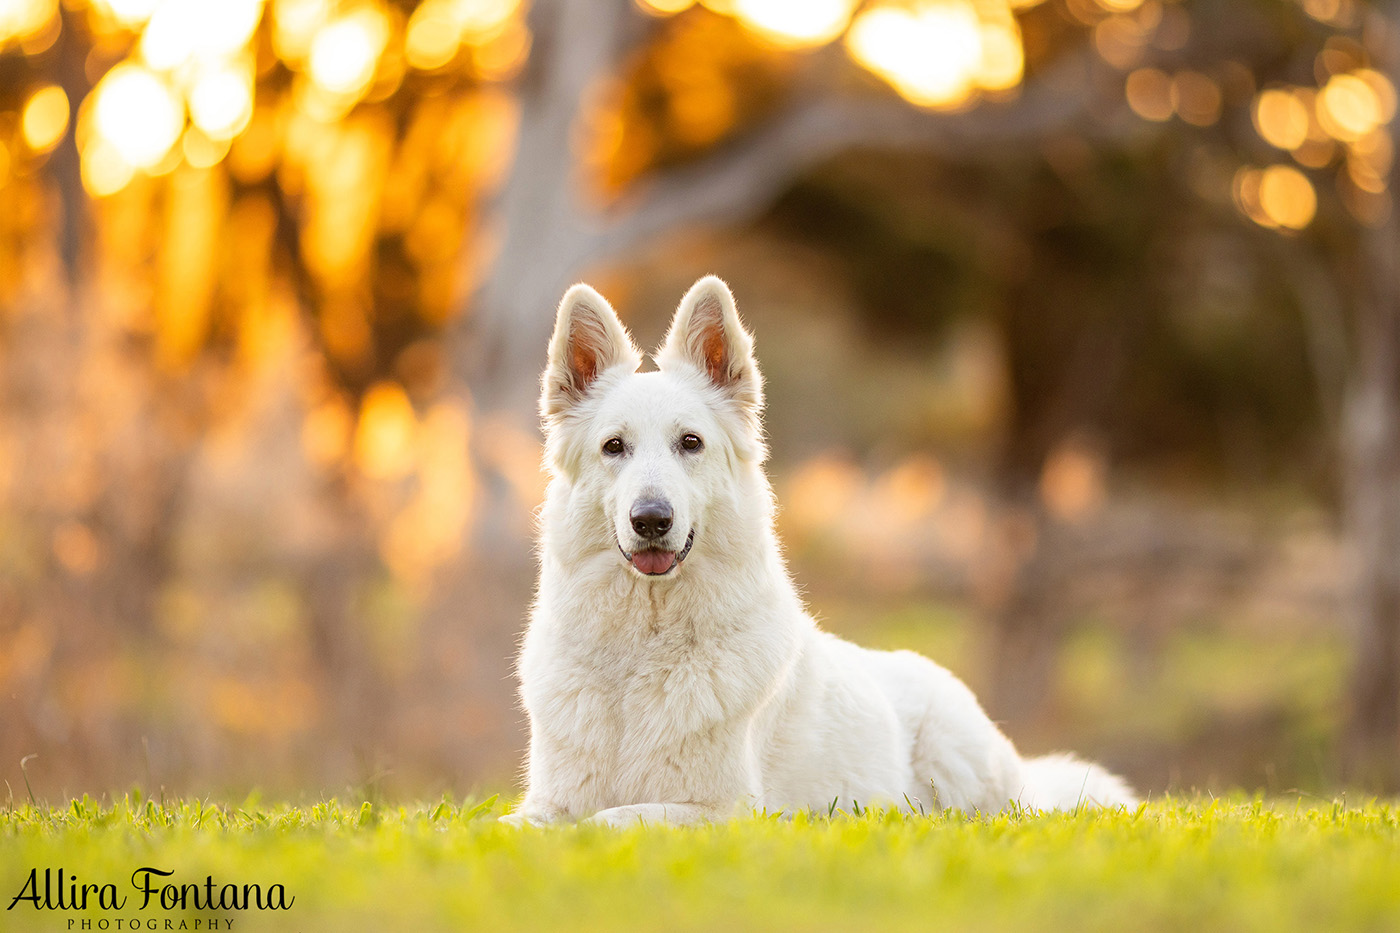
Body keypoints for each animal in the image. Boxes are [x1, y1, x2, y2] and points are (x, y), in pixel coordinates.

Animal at [506, 274, 1136, 823]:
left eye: (690, 443)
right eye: (614, 447)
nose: (652, 520)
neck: (640, 653)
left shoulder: (723, 811)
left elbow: (603, 820)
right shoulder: (545, 803)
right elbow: (507, 826)